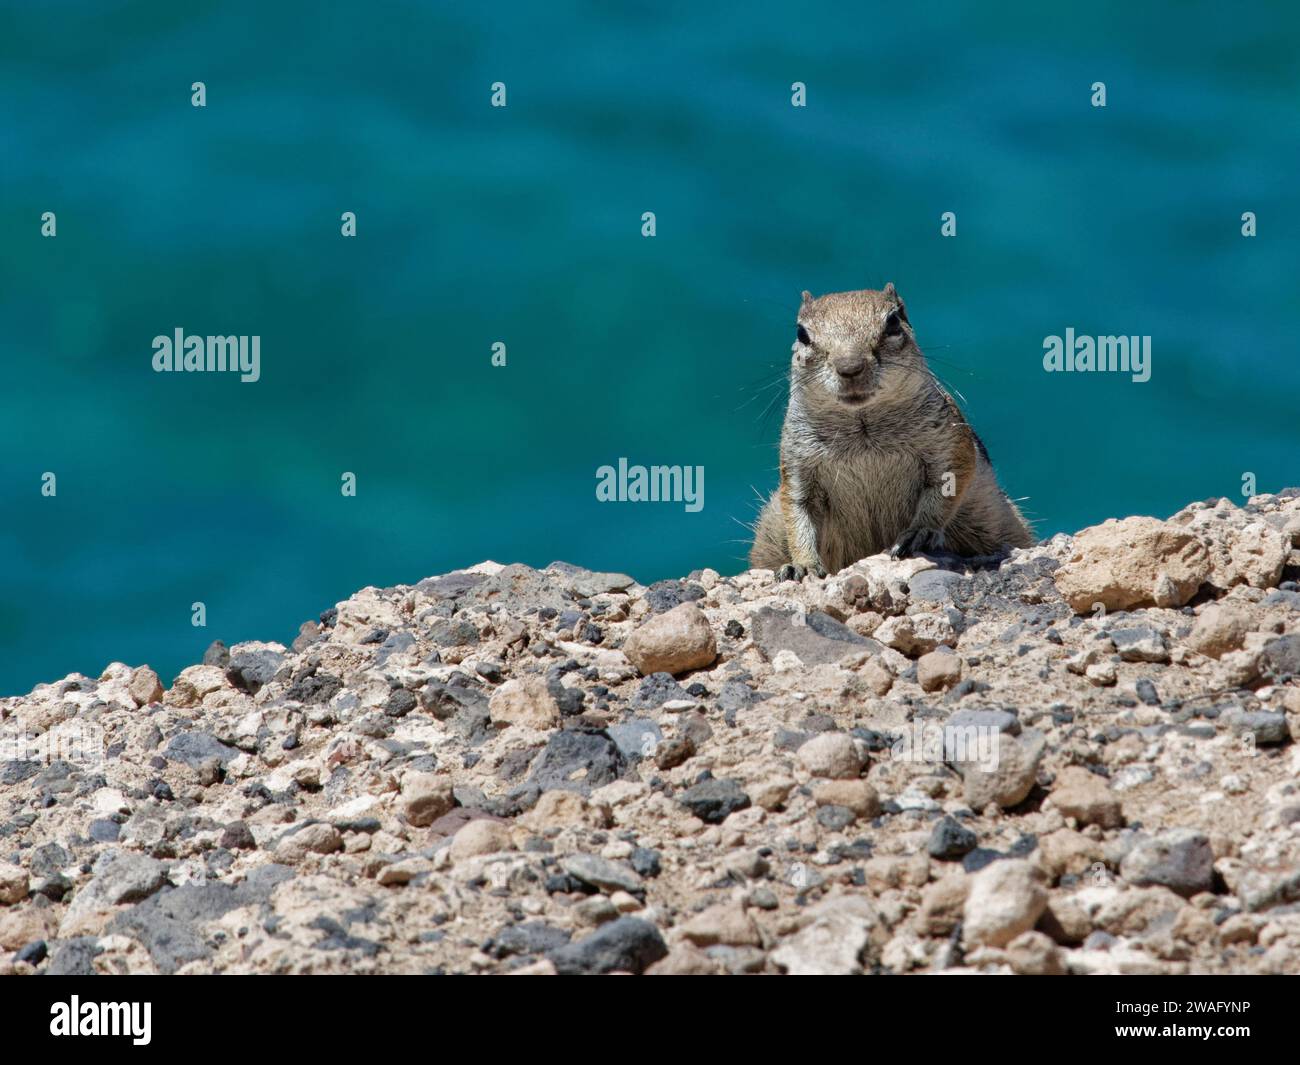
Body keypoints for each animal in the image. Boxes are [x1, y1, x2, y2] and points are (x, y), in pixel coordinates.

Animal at [750, 284, 1034, 579]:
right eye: (801, 334)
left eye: (893, 322)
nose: (850, 367)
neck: (863, 428)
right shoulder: (798, 466)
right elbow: (798, 513)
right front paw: (802, 564)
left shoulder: (950, 444)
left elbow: (946, 489)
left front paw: (919, 532)